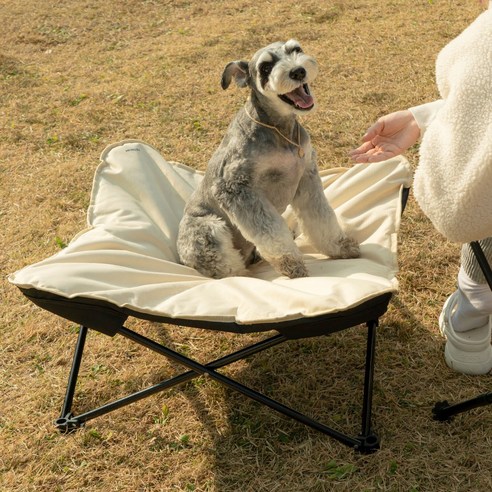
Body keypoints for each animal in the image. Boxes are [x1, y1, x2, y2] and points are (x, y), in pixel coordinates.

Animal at [176, 40, 358, 278]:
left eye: (296, 49)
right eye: (265, 68)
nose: (298, 71)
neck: (280, 131)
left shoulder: (307, 178)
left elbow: (322, 217)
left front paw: (341, 246)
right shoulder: (237, 190)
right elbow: (270, 232)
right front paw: (292, 264)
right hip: (207, 231)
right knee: (229, 268)